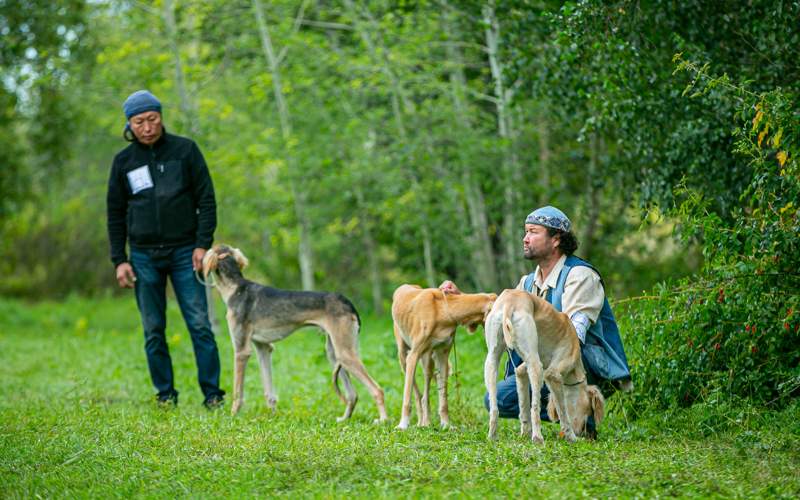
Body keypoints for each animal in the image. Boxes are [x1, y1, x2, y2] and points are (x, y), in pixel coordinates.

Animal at [202, 243, 386, 422]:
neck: (235, 287)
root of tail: (347, 301)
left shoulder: (241, 351)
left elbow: (237, 393)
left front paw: (232, 416)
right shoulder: (263, 348)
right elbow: (269, 391)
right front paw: (272, 417)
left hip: (344, 354)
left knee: (377, 390)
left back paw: (383, 420)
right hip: (334, 354)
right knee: (353, 394)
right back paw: (344, 419)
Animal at [392, 286, 496, 430]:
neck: (443, 310)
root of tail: (403, 287)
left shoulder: (442, 356)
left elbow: (443, 400)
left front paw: (446, 424)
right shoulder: (413, 356)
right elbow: (407, 398)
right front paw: (402, 425)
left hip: (428, 360)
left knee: (425, 393)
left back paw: (425, 422)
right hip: (403, 358)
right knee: (417, 394)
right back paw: (420, 422)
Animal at [482, 290, 608, 442]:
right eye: (589, 409)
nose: (584, 434)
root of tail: (510, 302)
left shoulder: (521, 371)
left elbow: (523, 407)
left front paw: (525, 433)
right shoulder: (553, 375)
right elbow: (563, 412)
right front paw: (571, 437)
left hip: (492, 361)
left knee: (494, 408)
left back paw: (492, 436)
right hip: (536, 366)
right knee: (535, 407)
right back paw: (537, 437)